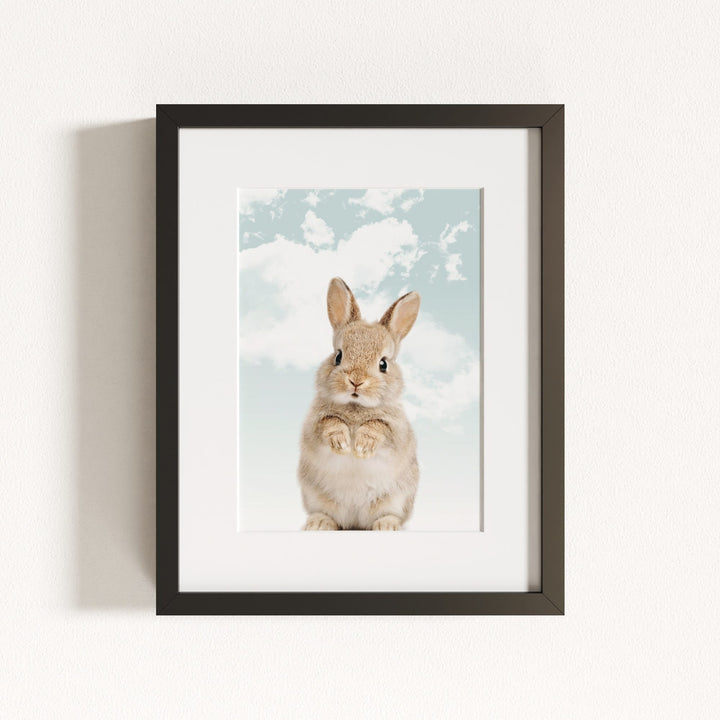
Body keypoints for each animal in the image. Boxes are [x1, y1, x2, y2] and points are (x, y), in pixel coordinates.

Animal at [298, 277, 421, 531]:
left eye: (383, 364)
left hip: (397, 498)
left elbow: (378, 427)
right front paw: (342, 443)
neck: (356, 407)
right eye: (338, 356)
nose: (356, 381)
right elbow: (330, 423)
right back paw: (319, 523)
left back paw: (387, 526)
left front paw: (362, 446)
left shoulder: (396, 430)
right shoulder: (314, 425)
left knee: (388, 514)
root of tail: (355, 521)